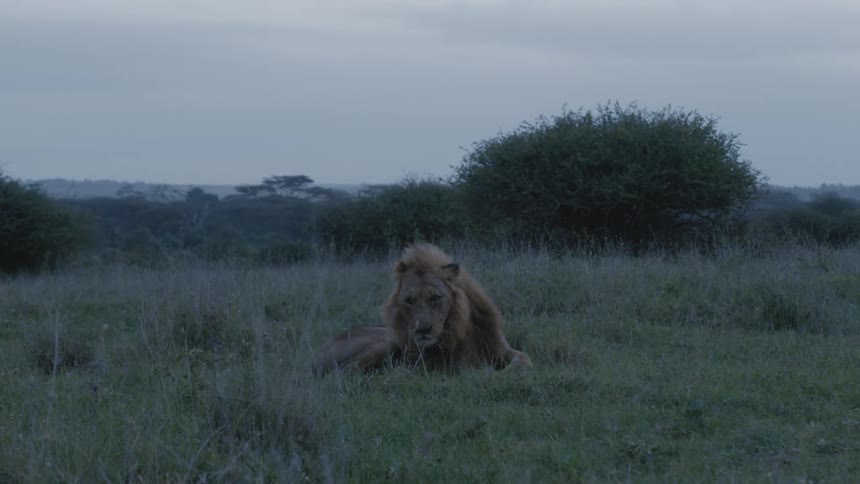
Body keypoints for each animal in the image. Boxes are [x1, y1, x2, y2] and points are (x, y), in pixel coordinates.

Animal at [312, 243, 531, 374]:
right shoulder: (444, 366)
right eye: (408, 300)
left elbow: (524, 359)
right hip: (384, 341)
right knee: (345, 371)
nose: (423, 330)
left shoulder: (502, 348)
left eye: (436, 298)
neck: (459, 328)